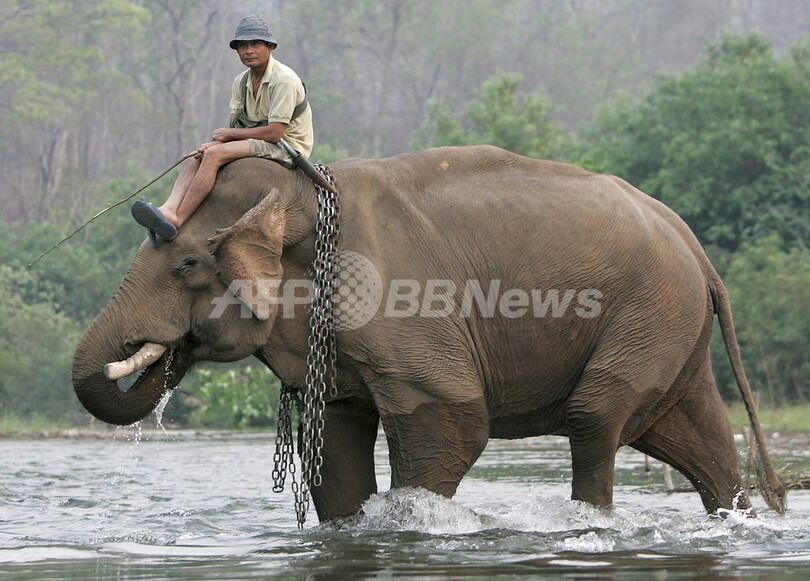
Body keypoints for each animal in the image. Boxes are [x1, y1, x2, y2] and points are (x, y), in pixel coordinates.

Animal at [72, 145, 784, 520]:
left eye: (188, 265)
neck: (304, 194)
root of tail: (699, 253)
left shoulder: (402, 306)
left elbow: (452, 420)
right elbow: (336, 441)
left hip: (648, 312)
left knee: (595, 418)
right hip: (671, 327)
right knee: (693, 436)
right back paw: (743, 518)